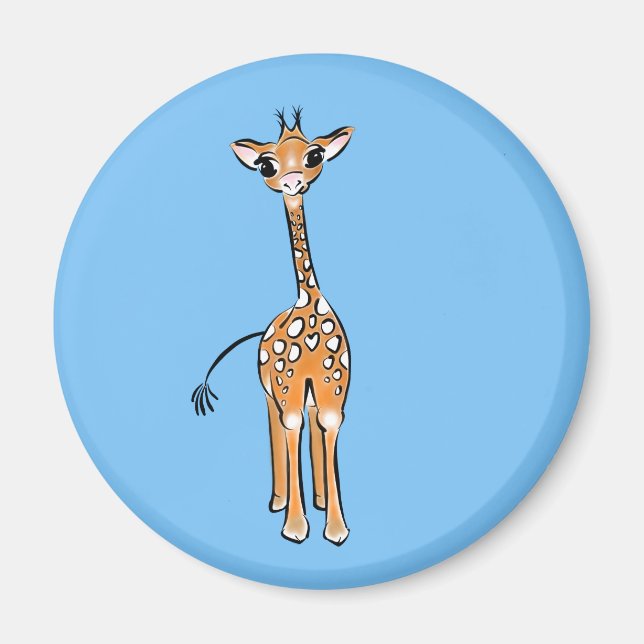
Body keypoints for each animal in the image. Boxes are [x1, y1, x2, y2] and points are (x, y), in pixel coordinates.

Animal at [191, 108, 354, 546]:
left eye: (315, 156)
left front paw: (335, 527)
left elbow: (328, 429)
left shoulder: (333, 390)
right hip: (271, 391)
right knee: (278, 429)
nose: (293, 182)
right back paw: (279, 501)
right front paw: (295, 527)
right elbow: (290, 429)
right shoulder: (286, 388)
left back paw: (318, 500)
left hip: (308, 392)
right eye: (267, 165)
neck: (308, 304)